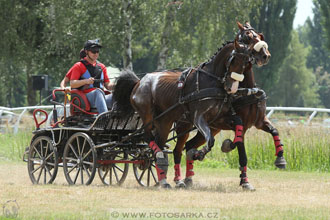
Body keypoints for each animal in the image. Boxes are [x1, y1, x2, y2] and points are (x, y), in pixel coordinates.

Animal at [173, 22, 284, 191]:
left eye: (259, 35)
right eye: (248, 37)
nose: (265, 55)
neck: (247, 91)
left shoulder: (259, 121)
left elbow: (274, 131)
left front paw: (280, 159)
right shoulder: (236, 123)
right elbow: (240, 149)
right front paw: (245, 181)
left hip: (210, 128)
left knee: (190, 145)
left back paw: (190, 175)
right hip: (184, 126)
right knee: (178, 149)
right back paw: (181, 177)